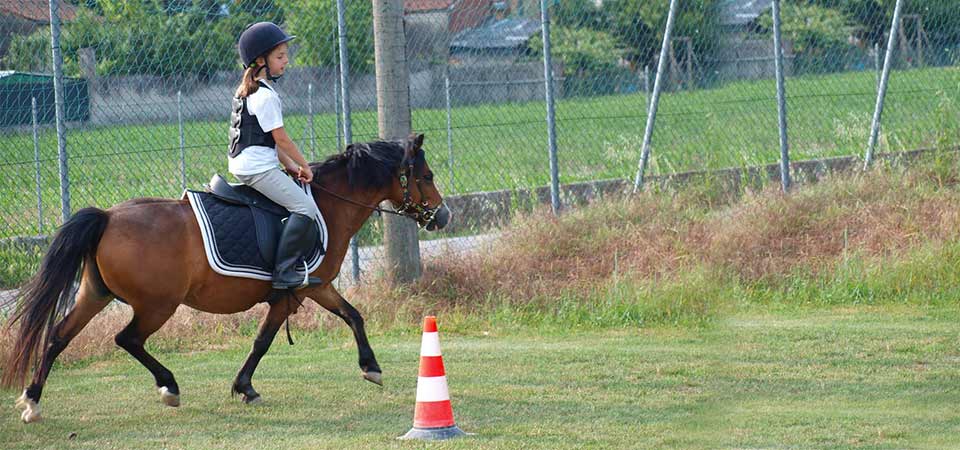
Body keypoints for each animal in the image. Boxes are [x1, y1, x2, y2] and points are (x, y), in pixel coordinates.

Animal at [0, 133, 450, 422]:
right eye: (426, 176)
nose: (443, 216)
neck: (326, 205)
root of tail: (108, 216)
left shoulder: (316, 286)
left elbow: (353, 315)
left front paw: (370, 366)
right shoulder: (294, 292)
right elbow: (263, 341)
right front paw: (245, 387)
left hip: (95, 294)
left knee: (59, 335)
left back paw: (32, 401)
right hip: (157, 305)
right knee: (127, 339)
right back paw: (169, 387)